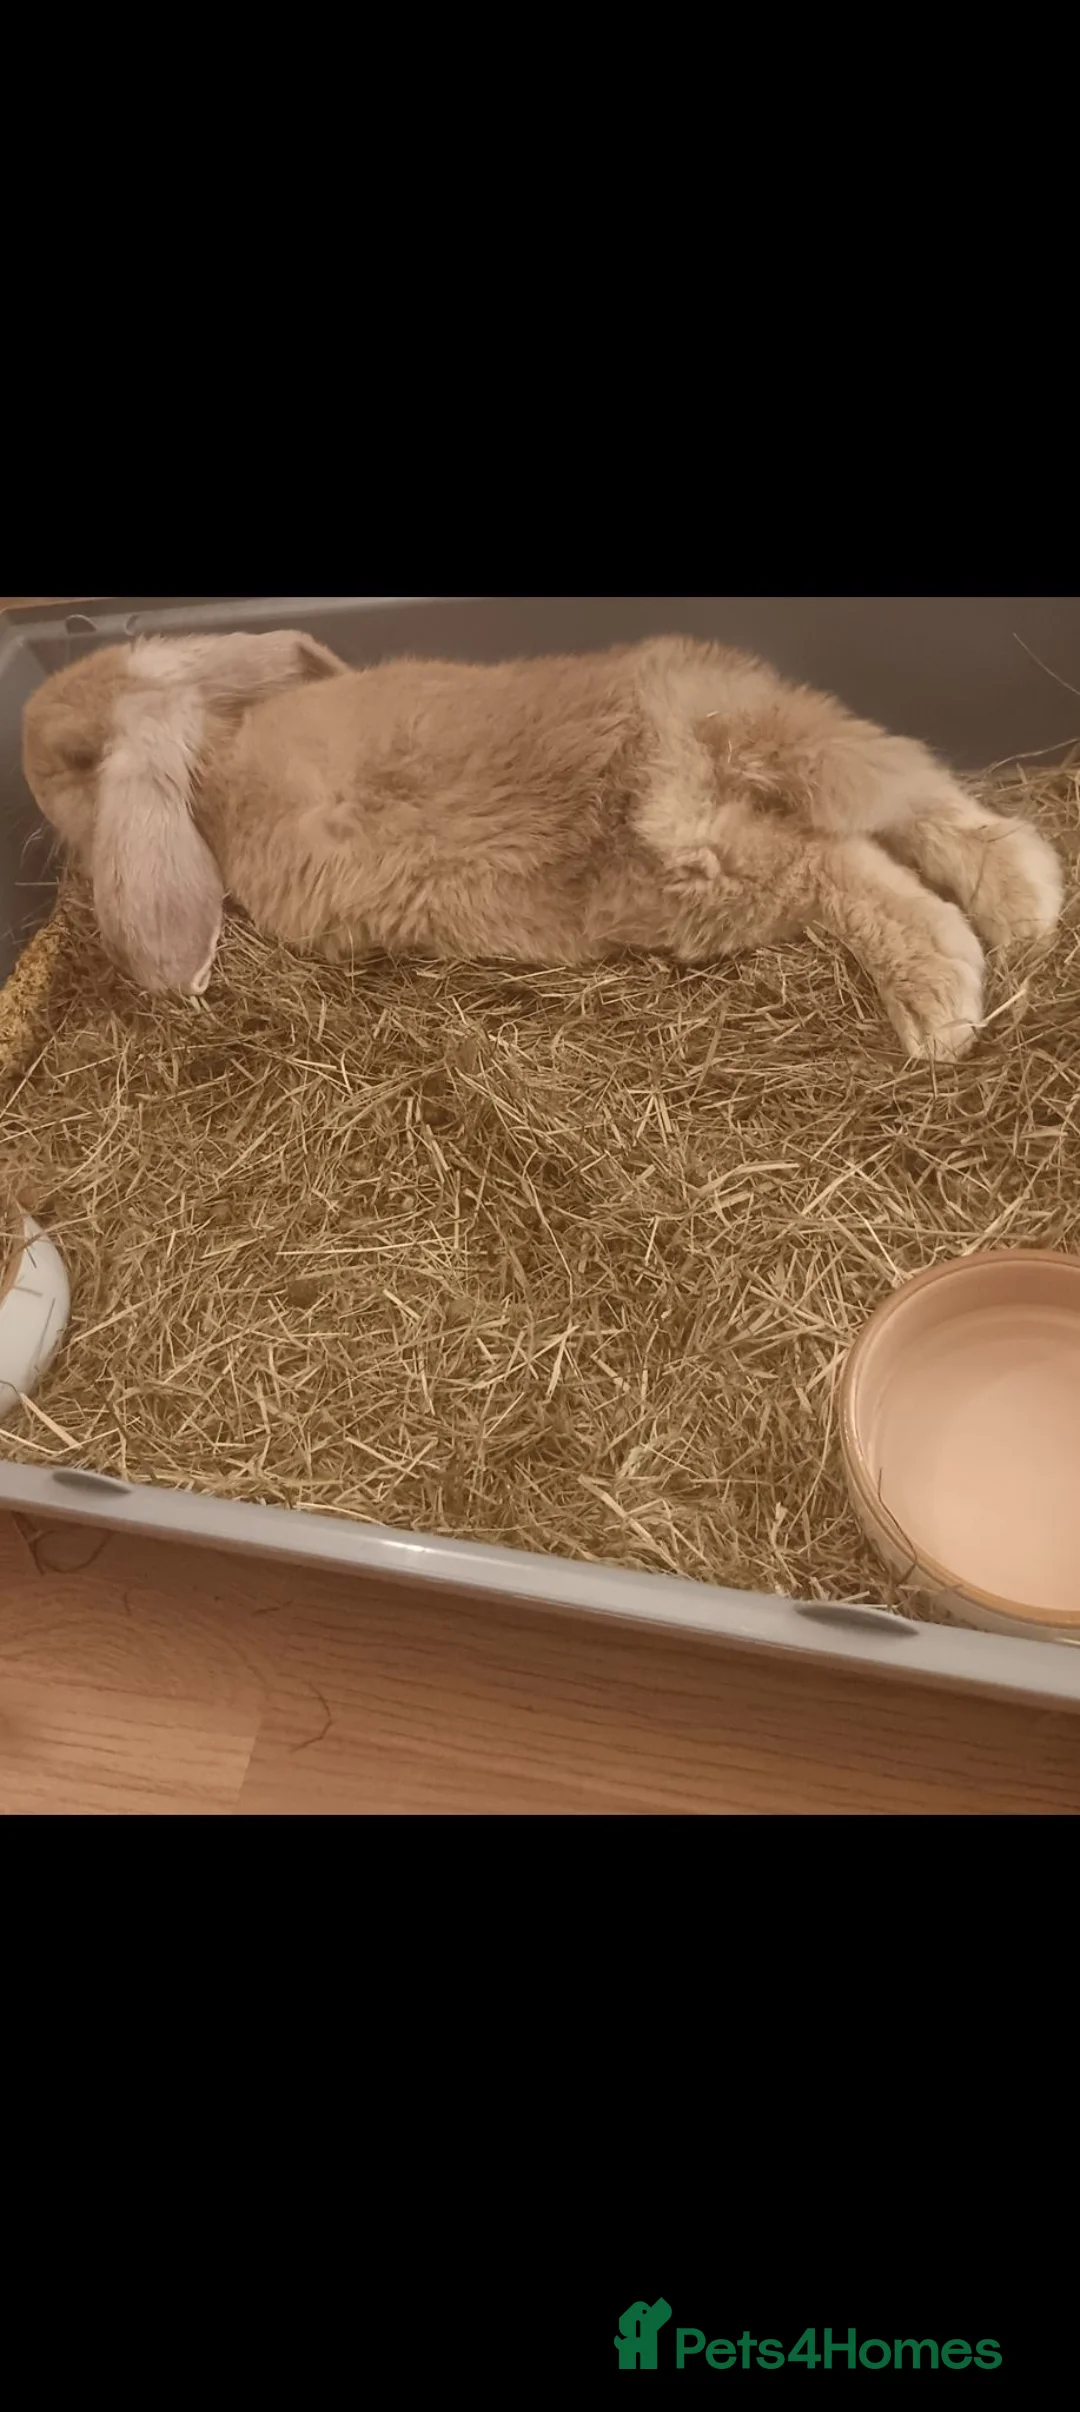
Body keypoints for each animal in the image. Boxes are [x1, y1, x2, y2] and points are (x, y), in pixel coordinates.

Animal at [21, 626, 1063, 1058]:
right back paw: (1026, 896)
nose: (25, 737)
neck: (215, 766)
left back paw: (940, 1002)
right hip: (788, 735)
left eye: (74, 761)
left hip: (709, 867)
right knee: (907, 796)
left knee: (856, 875)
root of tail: (675, 732)